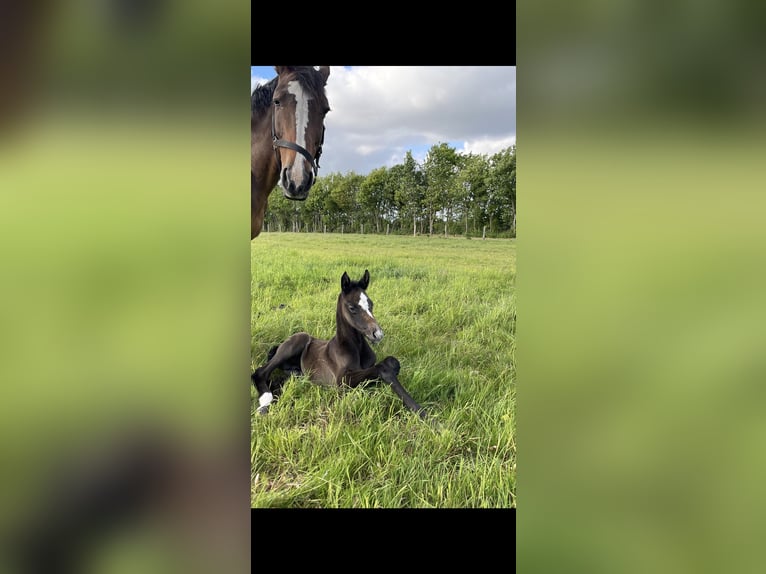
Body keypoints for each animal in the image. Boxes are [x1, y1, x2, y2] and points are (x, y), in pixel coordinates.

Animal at [252, 270, 427, 419]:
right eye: (352, 307)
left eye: (371, 304)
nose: (377, 334)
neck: (356, 348)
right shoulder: (341, 380)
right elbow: (383, 367)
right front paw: (421, 412)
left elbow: (391, 363)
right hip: (298, 340)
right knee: (260, 373)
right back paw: (265, 404)